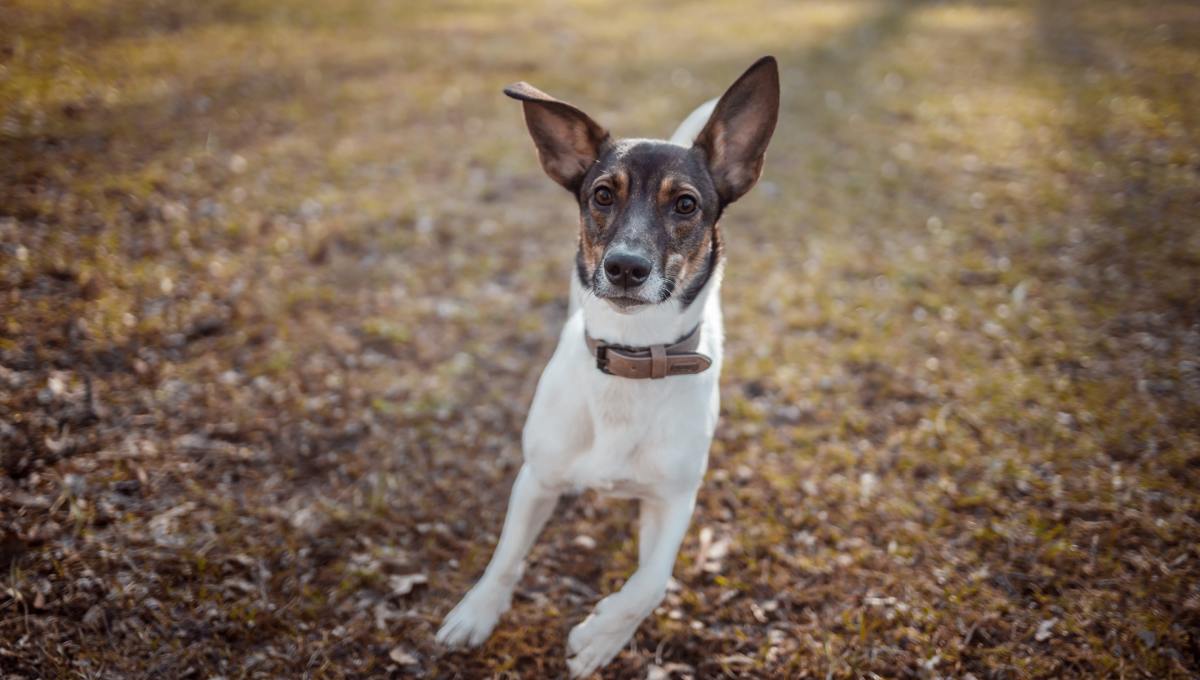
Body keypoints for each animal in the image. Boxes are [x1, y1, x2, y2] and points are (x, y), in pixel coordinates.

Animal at [436, 57, 782, 676]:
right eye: (602, 194)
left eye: (686, 204)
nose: (625, 267)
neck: (631, 357)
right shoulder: (537, 477)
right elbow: (505, 556)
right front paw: (477, 612)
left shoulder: (674, 499)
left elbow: (650, 584)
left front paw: (600, 637)